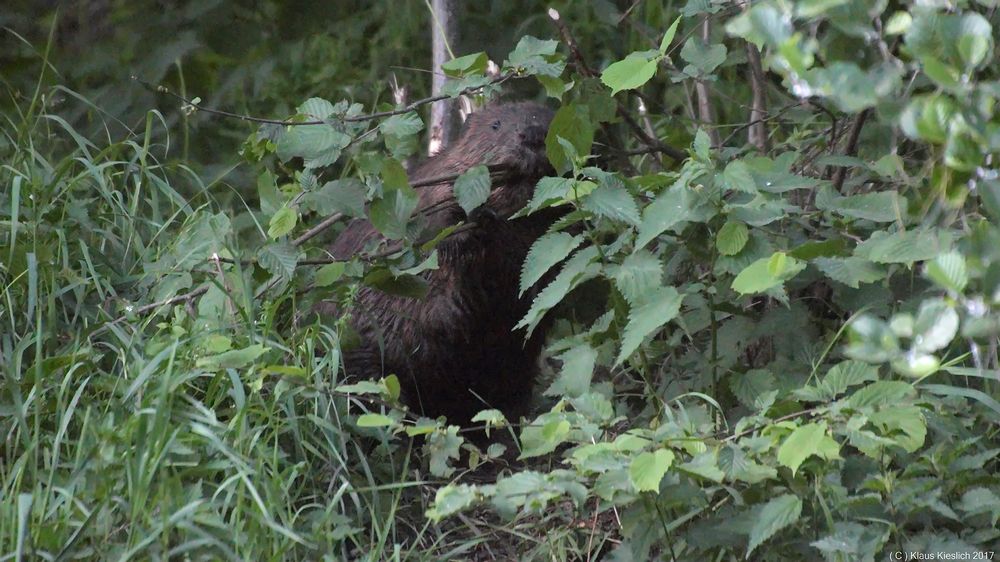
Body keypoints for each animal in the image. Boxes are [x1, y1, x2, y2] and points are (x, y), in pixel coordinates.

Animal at [328, 103, 564, 422]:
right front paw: (478, 221)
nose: (533, 136)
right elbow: (435, 237)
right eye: (496, 125)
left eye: (552, 122)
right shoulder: (431, 195)